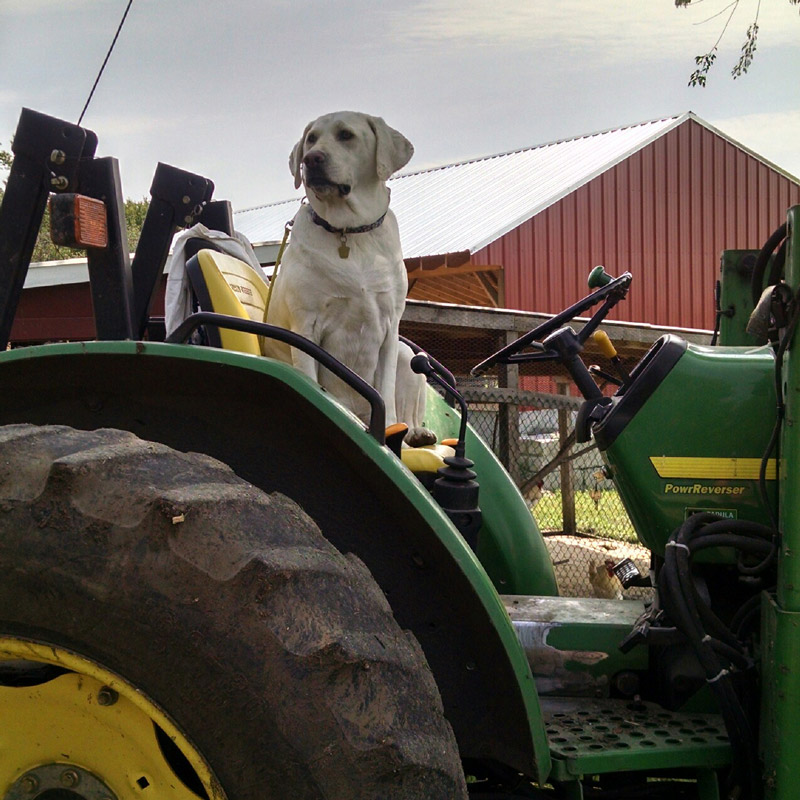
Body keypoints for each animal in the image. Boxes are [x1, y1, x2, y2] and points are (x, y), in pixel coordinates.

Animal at [264, 110, 428, 440]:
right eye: (311, 138)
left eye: (346, 135)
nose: (311, 159)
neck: (349, 231)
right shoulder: (306, 326)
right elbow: (310, 386)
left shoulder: (390, 328)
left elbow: (387, 395)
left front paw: (391, 433)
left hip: (409, 357)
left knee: (412, 412)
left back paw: (416, 434)